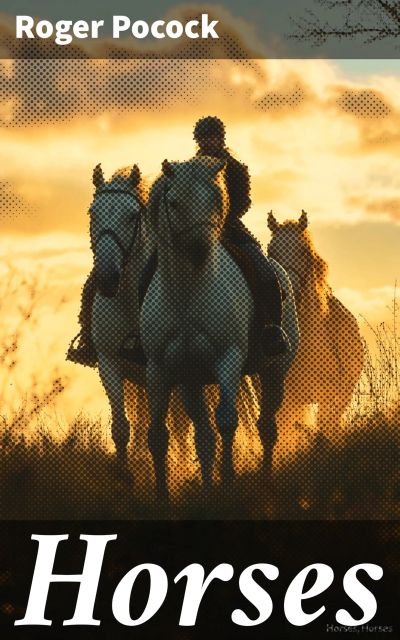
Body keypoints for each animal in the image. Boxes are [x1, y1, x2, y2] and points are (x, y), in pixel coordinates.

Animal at [141, 157, 299, 499]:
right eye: (174, 202)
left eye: (217, 199)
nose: (201, 252)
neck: (186, 296)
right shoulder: (160, 371)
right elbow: (159, 435)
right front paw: (163, 497)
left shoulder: (228, 358)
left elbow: (227, 421)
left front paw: (227, 484)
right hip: (191, 383)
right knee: (205, 436)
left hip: (274, 372)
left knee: (267, 426)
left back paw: (265, 479)